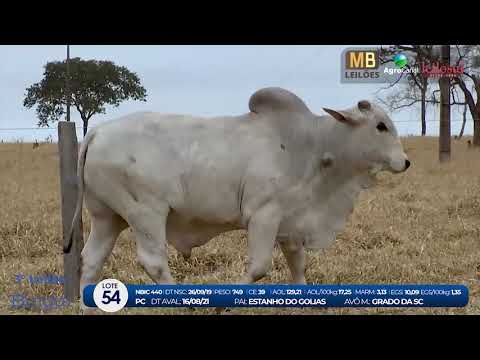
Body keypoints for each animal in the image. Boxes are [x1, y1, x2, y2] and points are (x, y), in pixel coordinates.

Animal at [63, 87, 408, 306]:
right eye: (380, 126)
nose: (405, 162)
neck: (311, 146)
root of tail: (97, 132)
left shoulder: (290, 222)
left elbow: (298, 264)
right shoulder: (264, 215)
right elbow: (259, 267)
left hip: (107, 217)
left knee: (91, 259)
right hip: (146, 214)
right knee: (154, 262)